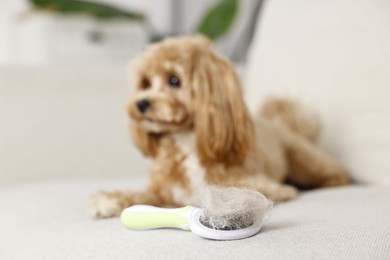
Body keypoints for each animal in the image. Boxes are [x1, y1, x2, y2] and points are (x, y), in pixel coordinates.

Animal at [87, 34, 348, 217]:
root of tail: (278, 123)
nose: (140, 104)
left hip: (305, 160)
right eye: (146, 83)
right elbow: (140, 195)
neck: (188, 141)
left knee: (335, 173)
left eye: (174, 80)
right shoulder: (162, 191)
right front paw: (109, 199)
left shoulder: (258, 183)